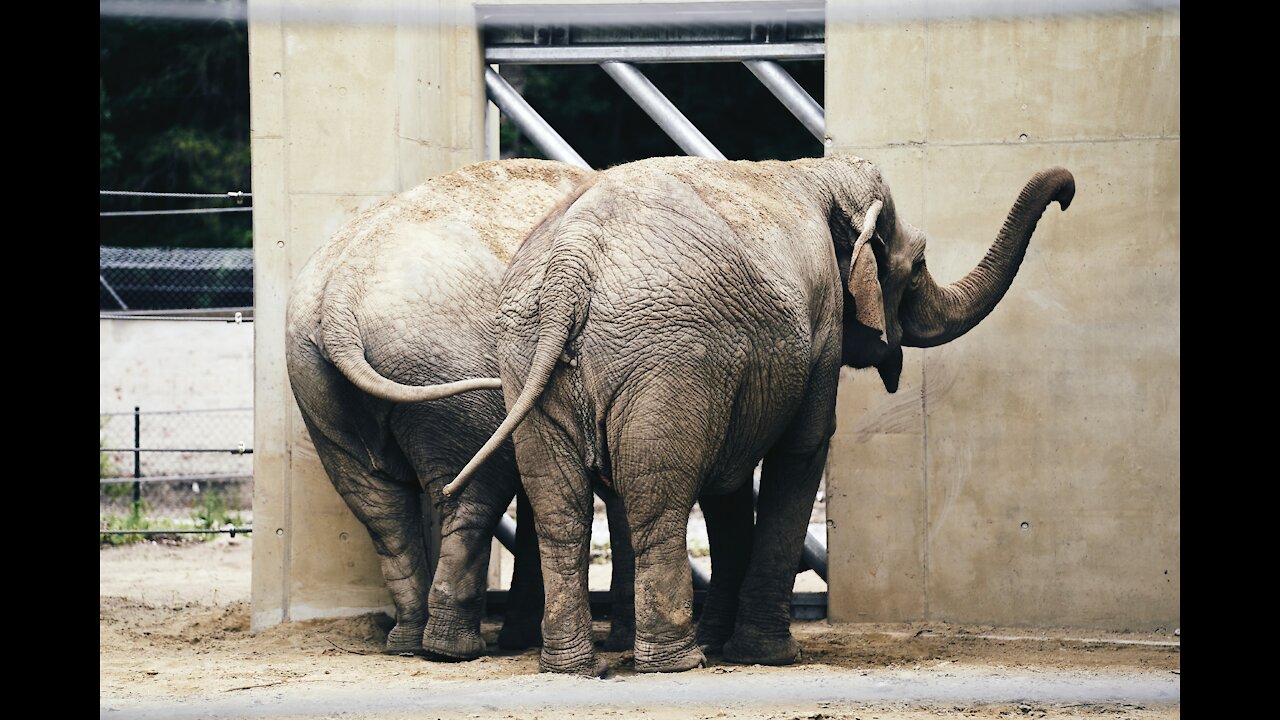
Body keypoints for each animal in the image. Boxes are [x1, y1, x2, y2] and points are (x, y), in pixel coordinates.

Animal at [285, 156, 609, 655]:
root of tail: (339, 295)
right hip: (445, 365)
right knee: (471, 491)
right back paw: (453, 649)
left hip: (316, 384)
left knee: (378, 507)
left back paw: (408, 642)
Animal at [435, 152, 1075, 671]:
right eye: (916, 265)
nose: (1067, 191)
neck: (818, 172)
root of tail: (571, 265)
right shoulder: (821, 326)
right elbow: (803, 449)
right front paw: (766, 655)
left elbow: (730, 479)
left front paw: (724, 643)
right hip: (668, 360)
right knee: (655, 501)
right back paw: (675, 662)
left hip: (529, 355)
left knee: (560, 510)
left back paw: (574, 667)